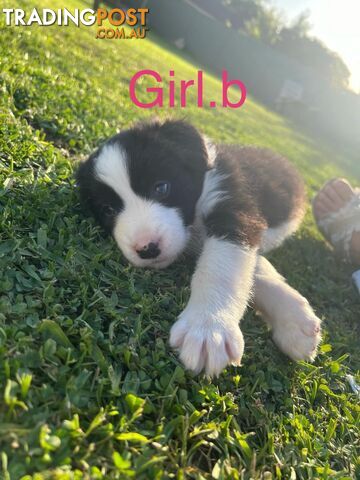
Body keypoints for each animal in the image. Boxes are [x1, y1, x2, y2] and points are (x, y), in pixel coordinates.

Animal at [77, 118, 322, 376]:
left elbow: (221, 268)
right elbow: (255, 270)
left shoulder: (232, 208)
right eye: (108, 210)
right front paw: (293, 319)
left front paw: (208, 328)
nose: (147, 248)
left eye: (161, 188)